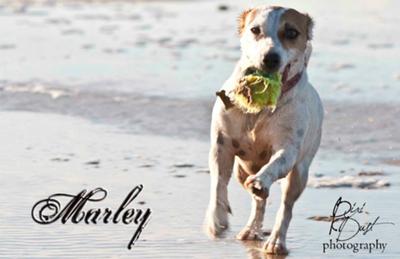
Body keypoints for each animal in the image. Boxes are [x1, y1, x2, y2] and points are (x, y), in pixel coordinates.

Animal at [205, 5, 324, 256]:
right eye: (255, 30)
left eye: (292, 32)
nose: (270, 58)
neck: (261, 109)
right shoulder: (221, 145)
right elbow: (218, 183)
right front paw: (216, 219)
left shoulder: (288, 149)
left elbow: (275, 164)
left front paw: (262, 180)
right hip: (242, 171)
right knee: (257, 202)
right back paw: (251, 230)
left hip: (299, 173)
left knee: (285, 207)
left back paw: (276, 241)